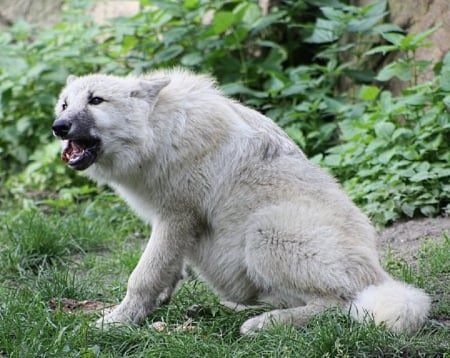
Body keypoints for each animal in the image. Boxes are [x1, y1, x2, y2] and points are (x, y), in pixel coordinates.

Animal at [51, 68, 428, 334]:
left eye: (96, 101)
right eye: (65, 104)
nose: (59, 126)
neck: (160, 131)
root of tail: (378, 276)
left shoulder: (176, 218)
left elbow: (143, 276)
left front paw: (117, 321)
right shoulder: (173, 225)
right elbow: (166, 272)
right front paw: (144, 308)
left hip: (265, 233)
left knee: (340, 303)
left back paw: (264, 324)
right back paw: (232, 310)